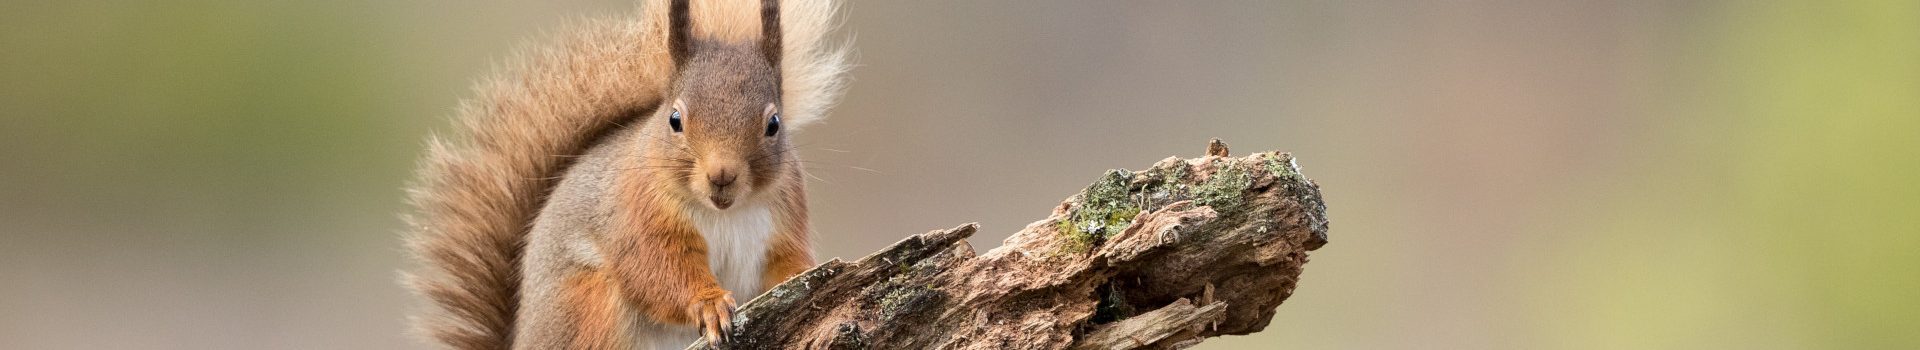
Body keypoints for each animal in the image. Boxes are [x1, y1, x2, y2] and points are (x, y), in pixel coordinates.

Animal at [401, 1, 844, 348]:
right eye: (675, 119)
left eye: (774, 124)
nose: (722, 176)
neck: (724, 213)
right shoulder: (639, 216)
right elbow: (658, 272)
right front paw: (710, 304)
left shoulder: (785, 218)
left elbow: (788, 265)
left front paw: (812, 280)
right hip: (593, 308)